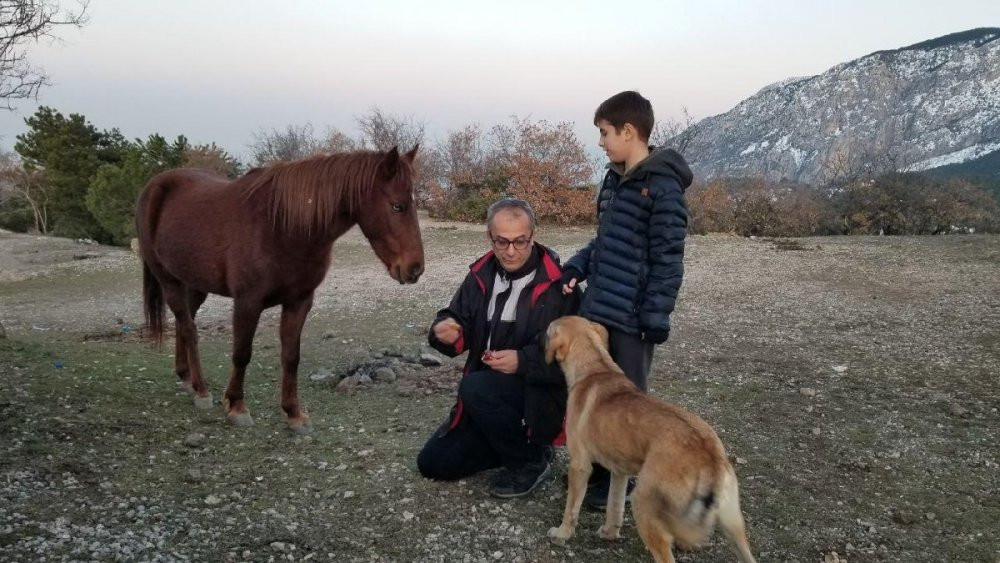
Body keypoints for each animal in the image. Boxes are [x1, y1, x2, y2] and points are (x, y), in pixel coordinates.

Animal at [136, 148, 422, 434]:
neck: (282, 227)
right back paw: (201, 390)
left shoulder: (299, 302)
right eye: (397, 206)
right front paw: (237, 407)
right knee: (188, 329)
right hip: (169, 280)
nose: (415, 268)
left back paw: (186, 377)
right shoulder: (247, 302)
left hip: (195, 284)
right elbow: (242, 354)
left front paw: (294, 413)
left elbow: (291, 357)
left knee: (184, 323)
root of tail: (154, 185)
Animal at [548, 318, 756, 563]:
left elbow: (571, 508)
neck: (595, 369)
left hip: (643, 504)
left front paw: (562, 533)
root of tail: (709, 456)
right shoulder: (619, 472)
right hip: (734, 526)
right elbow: (614, 507)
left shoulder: (580, 466)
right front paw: (609, 533)